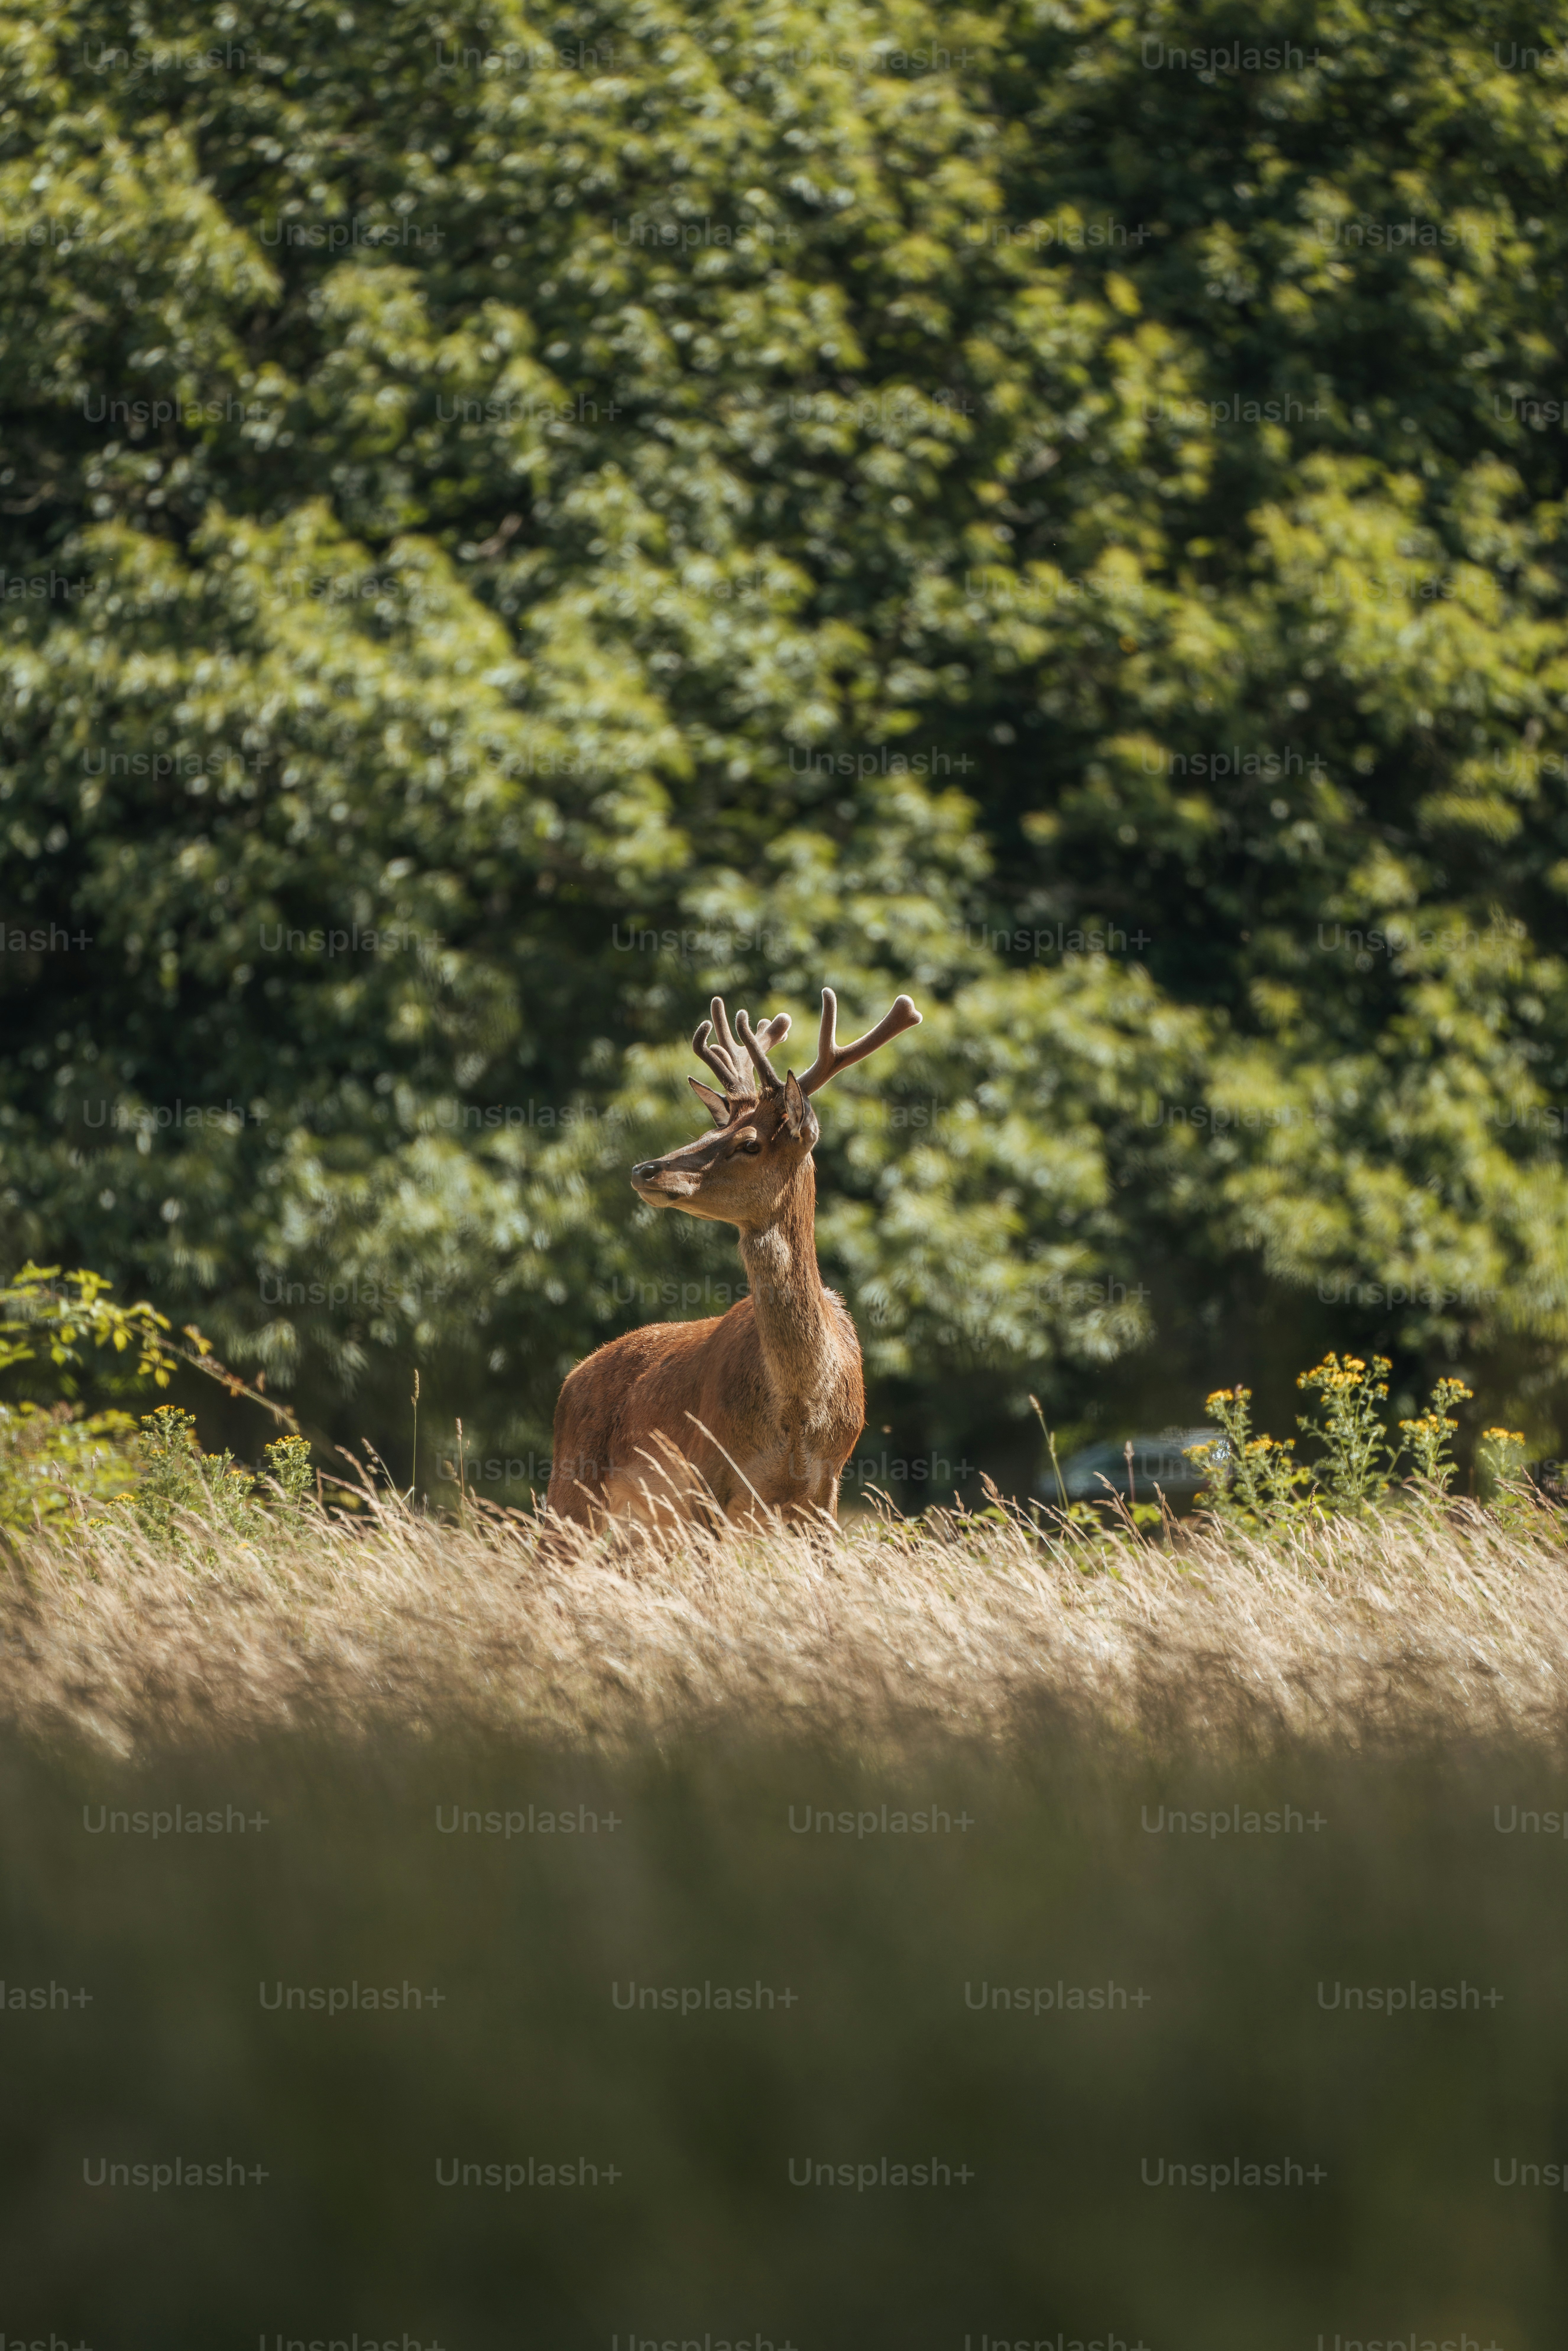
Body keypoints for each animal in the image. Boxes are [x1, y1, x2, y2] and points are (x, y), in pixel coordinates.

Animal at [544, 987, 922, 1533]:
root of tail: (571, 1379)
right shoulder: (707, 1475)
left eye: (749, 1144)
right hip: (571, 1493)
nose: (645, 1170)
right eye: (707, 1134)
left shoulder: (826, 1488)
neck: (797, 1412)